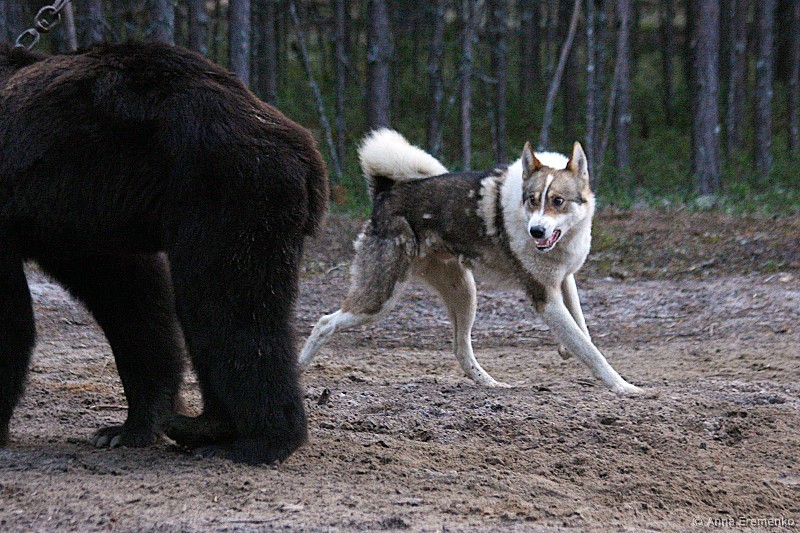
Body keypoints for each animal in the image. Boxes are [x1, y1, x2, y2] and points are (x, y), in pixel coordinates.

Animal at [0, 41, 328, 464]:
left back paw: (257, 440)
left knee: (226, 307)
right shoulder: (86, 216)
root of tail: (302, 145)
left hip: (229, 188)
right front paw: (130, 426)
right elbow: (131, 299)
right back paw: (203, 427)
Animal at [299, 129, 643, 395]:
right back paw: (299, 367)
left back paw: (490, 383)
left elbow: (582, 330)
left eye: (557, 201)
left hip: (465, 293)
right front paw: (623, 387)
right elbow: (589, 350)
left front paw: (565, 349)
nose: (536, 231)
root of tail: (386, 193)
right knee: (325, 322)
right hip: (379, 298)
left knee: (460, 349)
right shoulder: (544, 297)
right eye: (532, 200)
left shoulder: (563, 280)